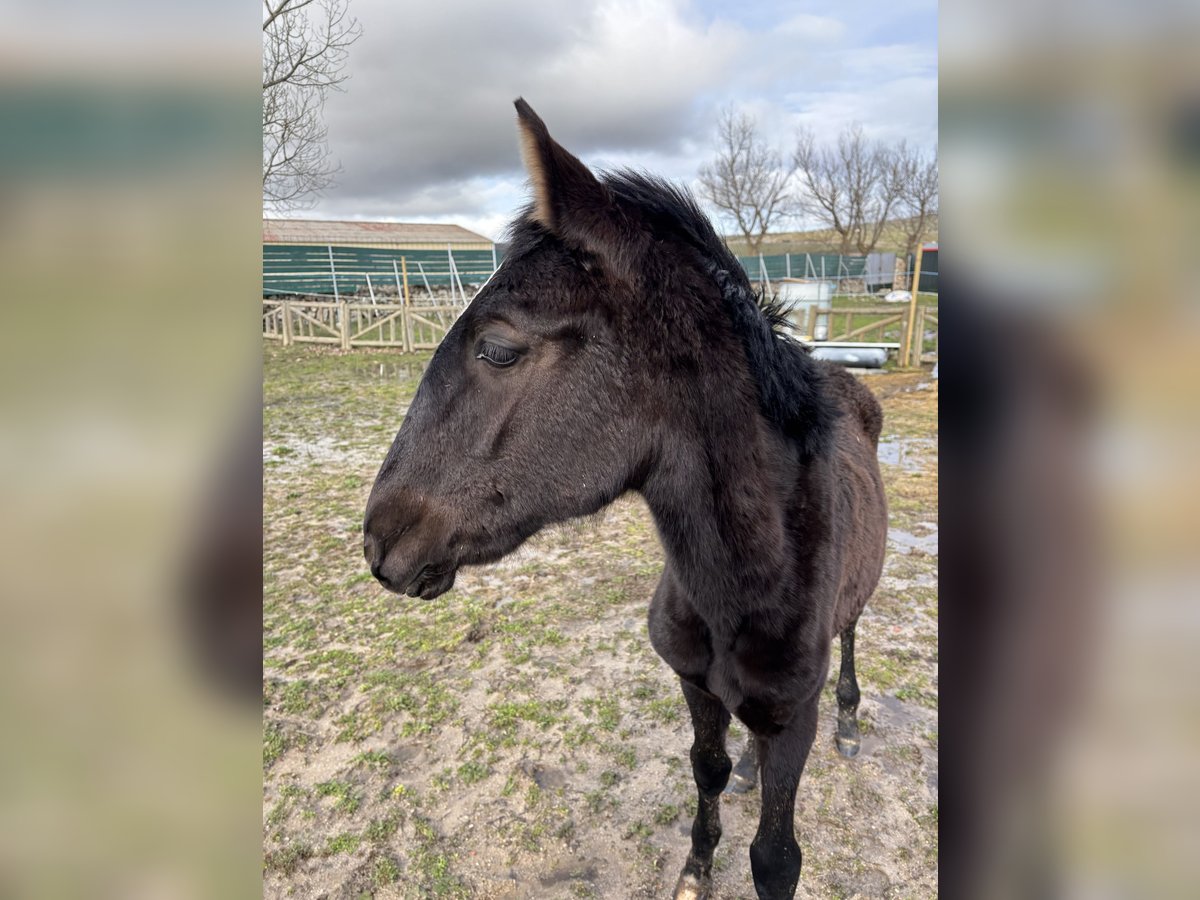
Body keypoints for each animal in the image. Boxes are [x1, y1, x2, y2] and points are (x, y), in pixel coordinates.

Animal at [364, 100, 892, 900]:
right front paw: (696, 868)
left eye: (498, 348)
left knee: (855, 633)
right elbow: (706, 770)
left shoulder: (792, 717)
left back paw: (854, 723)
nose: (378, 539)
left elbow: (776, 858)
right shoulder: (696, 687)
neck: (744, 585)